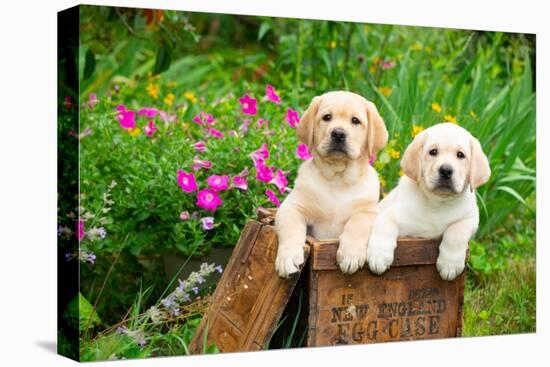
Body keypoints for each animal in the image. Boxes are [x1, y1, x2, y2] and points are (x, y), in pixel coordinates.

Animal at [274, 90, 388, 278]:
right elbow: (291, 228)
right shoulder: (292, 207)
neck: (338, 178)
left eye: (355, 120)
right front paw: (288, 258)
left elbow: (357, 223)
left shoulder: (369, 212)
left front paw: (350, 255)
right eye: (327, 117)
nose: (338, 134)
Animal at [368, 123, 494, 282]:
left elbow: (456, 231)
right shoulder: (390, 214)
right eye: (433, 152)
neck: (437, 203)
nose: (446, 170)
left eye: (460, 155)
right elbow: (384, 225)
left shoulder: (471, 218)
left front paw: (450, 264)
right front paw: (378, 256)